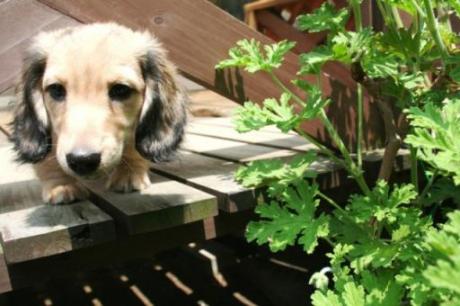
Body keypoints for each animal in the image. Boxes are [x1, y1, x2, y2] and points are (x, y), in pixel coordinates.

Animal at [10, 22, 187, 204]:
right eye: (56, 89)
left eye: (121, 89)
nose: (82, 160)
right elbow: (48, 158)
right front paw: (61, 185)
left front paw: (129, 173)